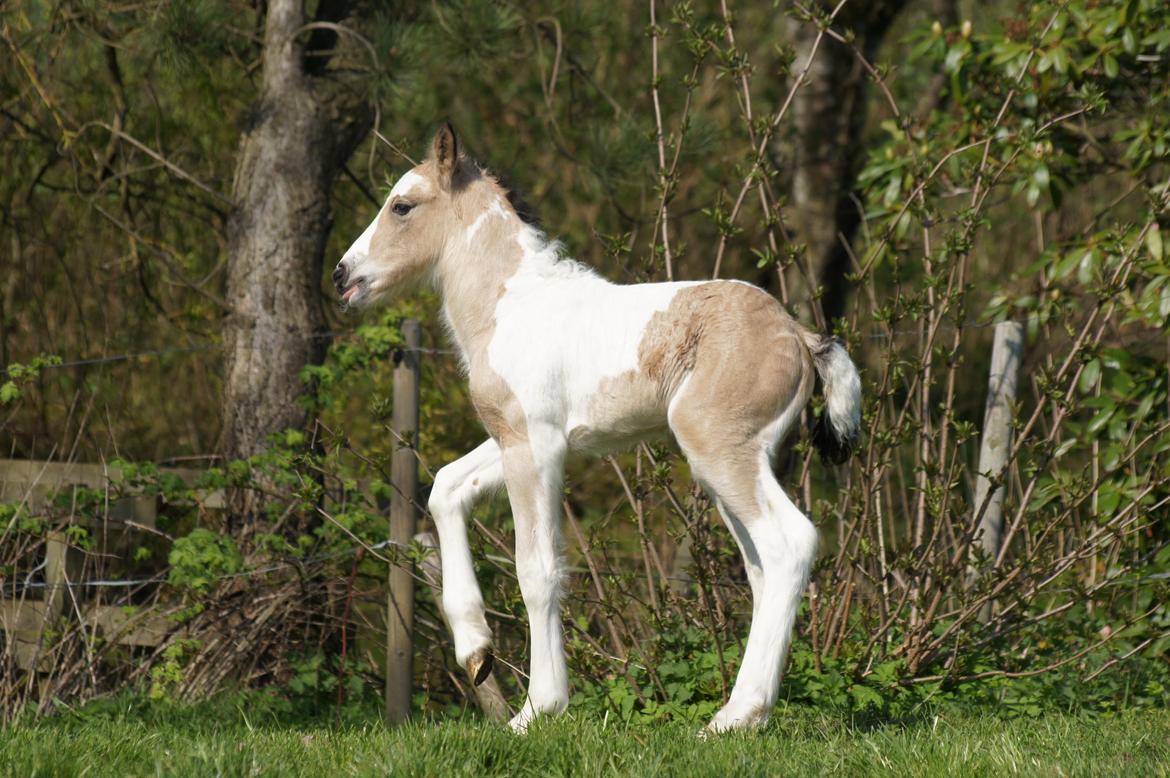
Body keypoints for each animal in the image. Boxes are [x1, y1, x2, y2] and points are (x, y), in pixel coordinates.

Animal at [334, 122, 865, 734]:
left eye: (402, 206)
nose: (342, 275)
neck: (511, 305)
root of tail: (801, 336)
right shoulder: (523, 439)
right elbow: (445, 486)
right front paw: (475, 652)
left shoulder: (534, 445)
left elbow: (537, 569)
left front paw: (537, 709)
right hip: (738, 461)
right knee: (762, 566)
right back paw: (738, 714)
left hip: (719, 450)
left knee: (791, 544)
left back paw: (739, 715)